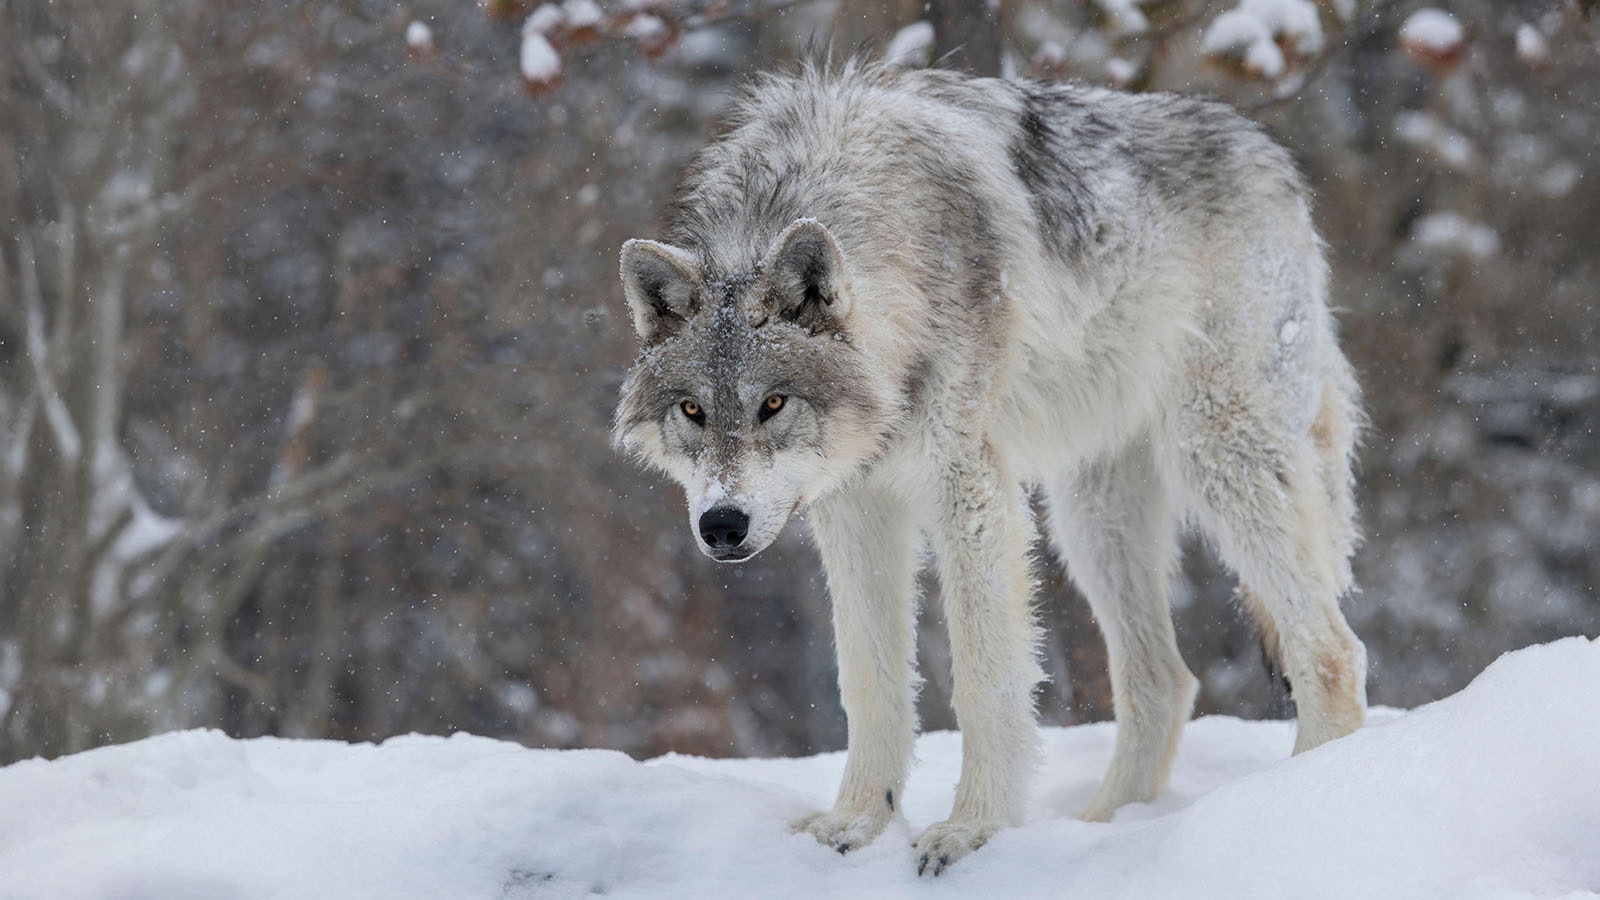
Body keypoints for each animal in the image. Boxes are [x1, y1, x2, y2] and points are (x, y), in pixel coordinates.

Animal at [612, 60, 1367, 876]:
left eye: (773, 403)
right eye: (693, 411)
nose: (722, 526)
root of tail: (1271, 156)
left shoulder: (969, 493)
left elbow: (985, 677)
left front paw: (973, 829)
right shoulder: (855, 508)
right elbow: (869, 681)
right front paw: (855, 825)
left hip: (1219, 458)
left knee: (1330, 648)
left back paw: (1301, 793)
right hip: (1090, 522)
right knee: (1165, 680)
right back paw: (1101, 831)